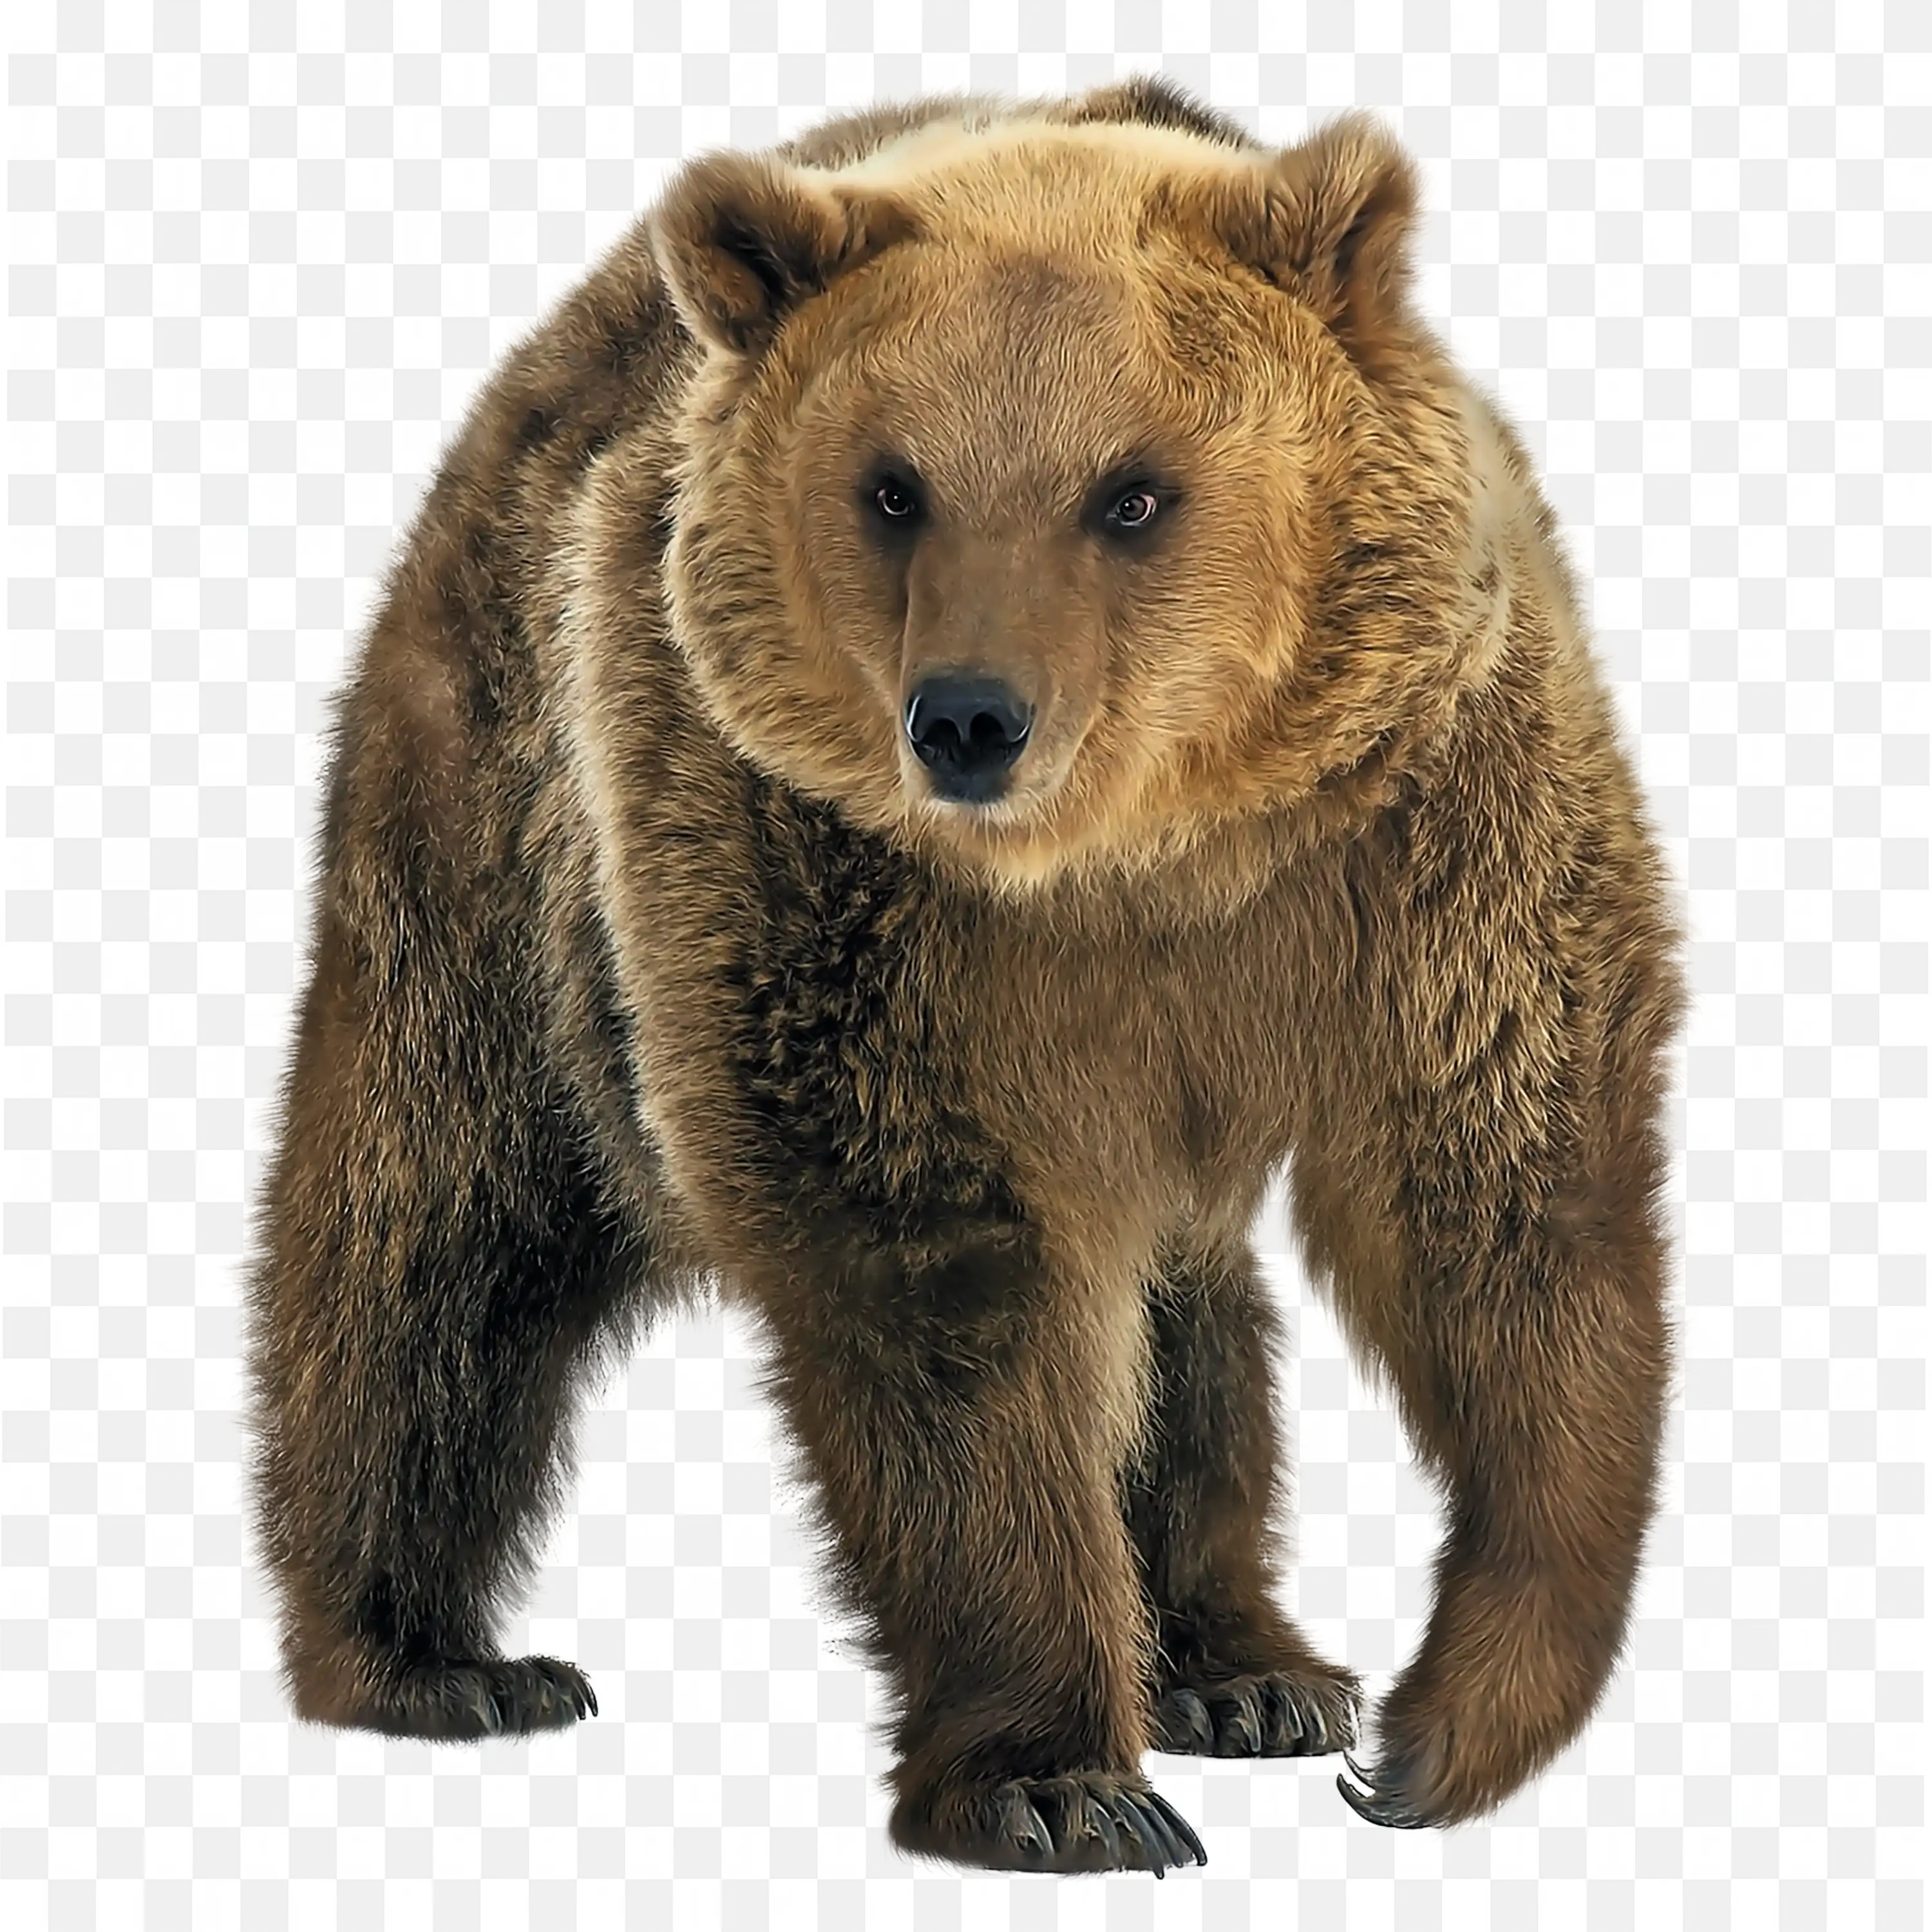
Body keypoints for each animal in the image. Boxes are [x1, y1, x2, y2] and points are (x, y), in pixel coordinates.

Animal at [237, 73, 1692, 1875]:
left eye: (1131, 491)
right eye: (892, 486)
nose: (970, 718)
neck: (1139, 858)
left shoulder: (1419, 827)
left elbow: (1501, 1201)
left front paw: (1439, 1726)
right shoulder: (825, 887)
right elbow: (942, 1286)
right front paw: (1060, 1781)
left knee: (1184, 1313)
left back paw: (1242, 1667)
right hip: (505, 823)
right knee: (439, 1220)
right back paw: (433, 1655)